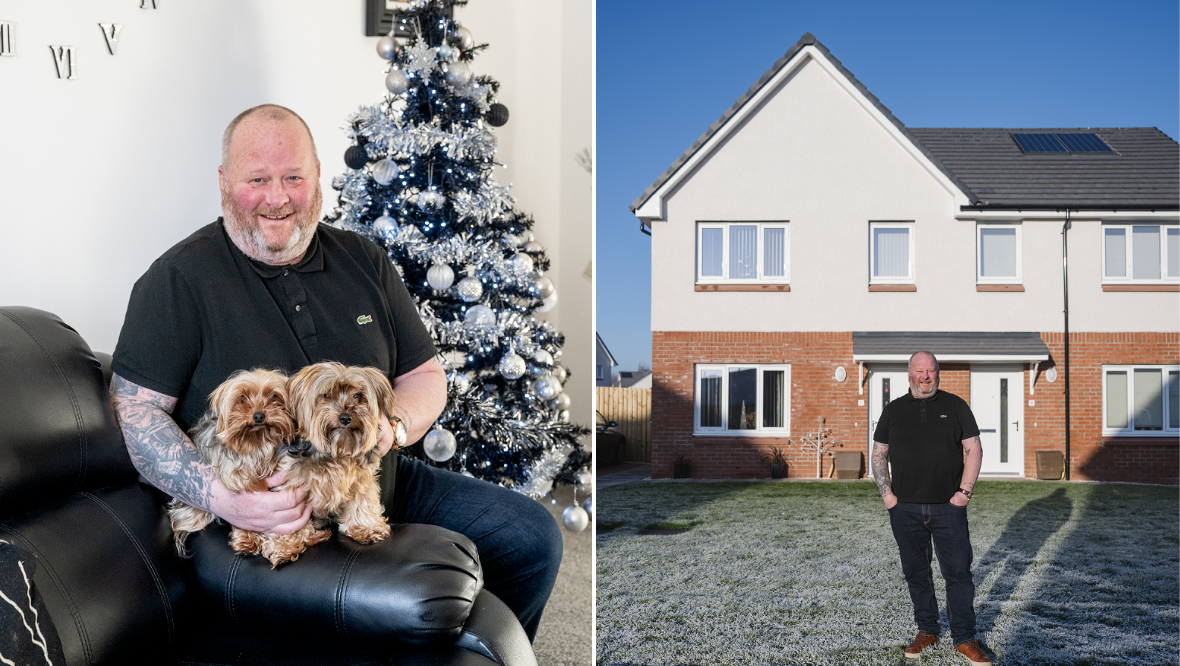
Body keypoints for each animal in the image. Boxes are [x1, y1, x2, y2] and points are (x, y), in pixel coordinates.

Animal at [167, 363, 313, 562]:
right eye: (242, 398)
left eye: (274, 396)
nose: (258, 416)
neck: (259, 444)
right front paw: (249, 537)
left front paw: (287, 545)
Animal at [278, 363, 398, 562]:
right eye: (326, 395)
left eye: (358, 395)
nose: (345, 417)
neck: (337, 452)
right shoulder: (289, 484)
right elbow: (285, 518)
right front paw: (286, 545)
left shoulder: (362, 478)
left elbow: (362, 500)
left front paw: (366, 527)